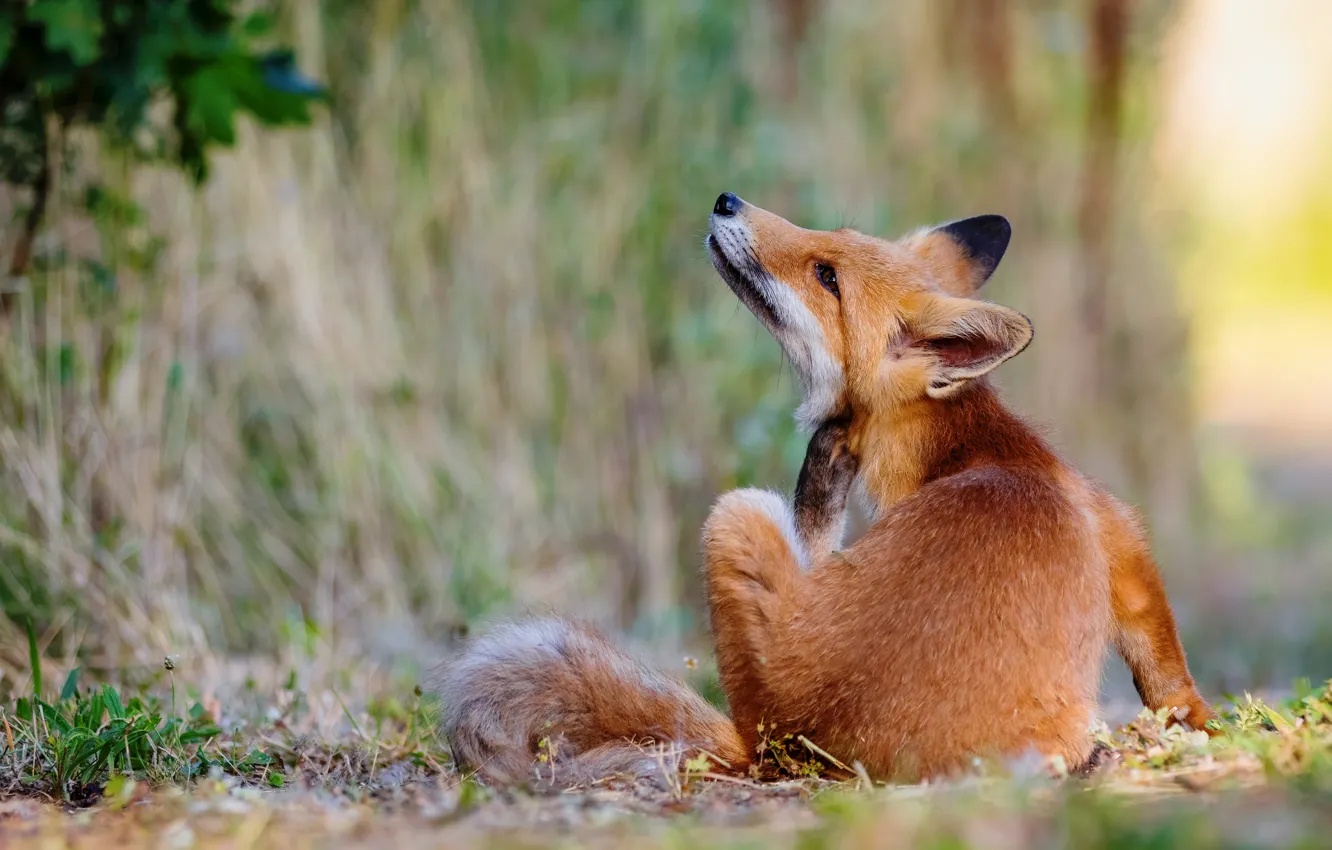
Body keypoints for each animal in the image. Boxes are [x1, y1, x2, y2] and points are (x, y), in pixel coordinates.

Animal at [434, 191, 1220, 788]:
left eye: (826, 275)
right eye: (828, 242)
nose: (728, 200)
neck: (972, 442)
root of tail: (789, 751)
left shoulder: (1116, 533)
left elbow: (1163, 655)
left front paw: (1193, 724)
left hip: (736, 514)